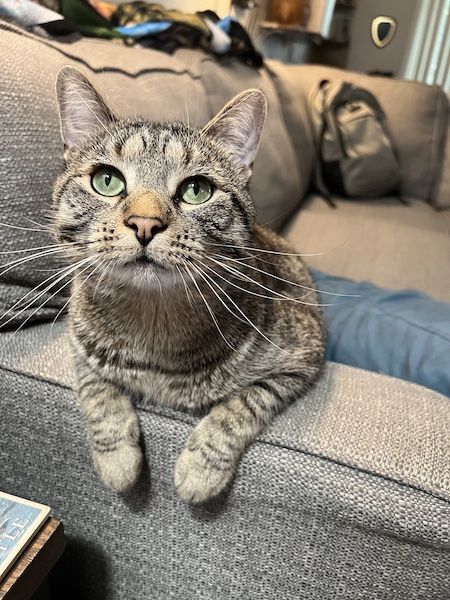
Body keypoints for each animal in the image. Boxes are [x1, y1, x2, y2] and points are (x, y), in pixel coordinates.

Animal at [54, 67, 326, 502]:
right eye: (106, 180)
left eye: (197, 190)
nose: (144, 223)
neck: (151, 323)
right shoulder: (79, 345)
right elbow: (96, 389)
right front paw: (117, 459)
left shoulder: (302, 360)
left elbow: (245, 403)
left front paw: (201, 468)